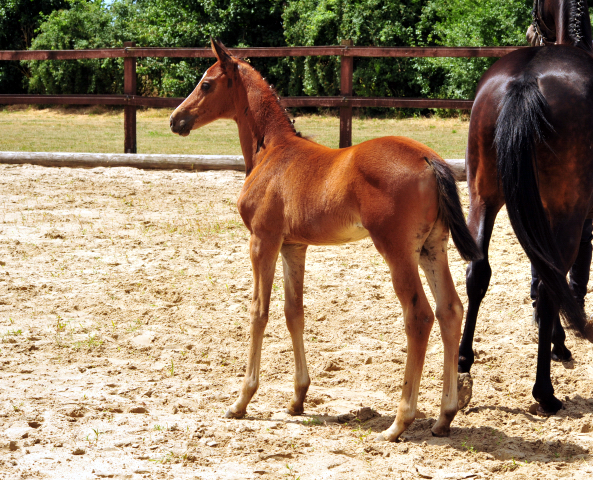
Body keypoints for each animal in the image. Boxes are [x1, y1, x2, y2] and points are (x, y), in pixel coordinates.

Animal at [169, 38, 478, 442]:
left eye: (206, 84)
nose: (176, 119)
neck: (273, 151)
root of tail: (429, 159)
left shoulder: (262, 241)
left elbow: (259, 311)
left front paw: (241, 401)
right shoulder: (293, 246)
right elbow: (293, 312)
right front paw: (297, 399)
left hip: (397, 250)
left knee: (419, 315)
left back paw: (399, 423)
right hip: (431, 247)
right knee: (450, 310)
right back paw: (445, 416)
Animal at [458, 0, 592, 414]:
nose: (532, 33)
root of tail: (526, 80)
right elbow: (572, 277)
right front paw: (560, 341)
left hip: (482, 196)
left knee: (478, 272)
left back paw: (462, 367)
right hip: (566, 211)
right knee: (552, 282)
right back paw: (544, 391)